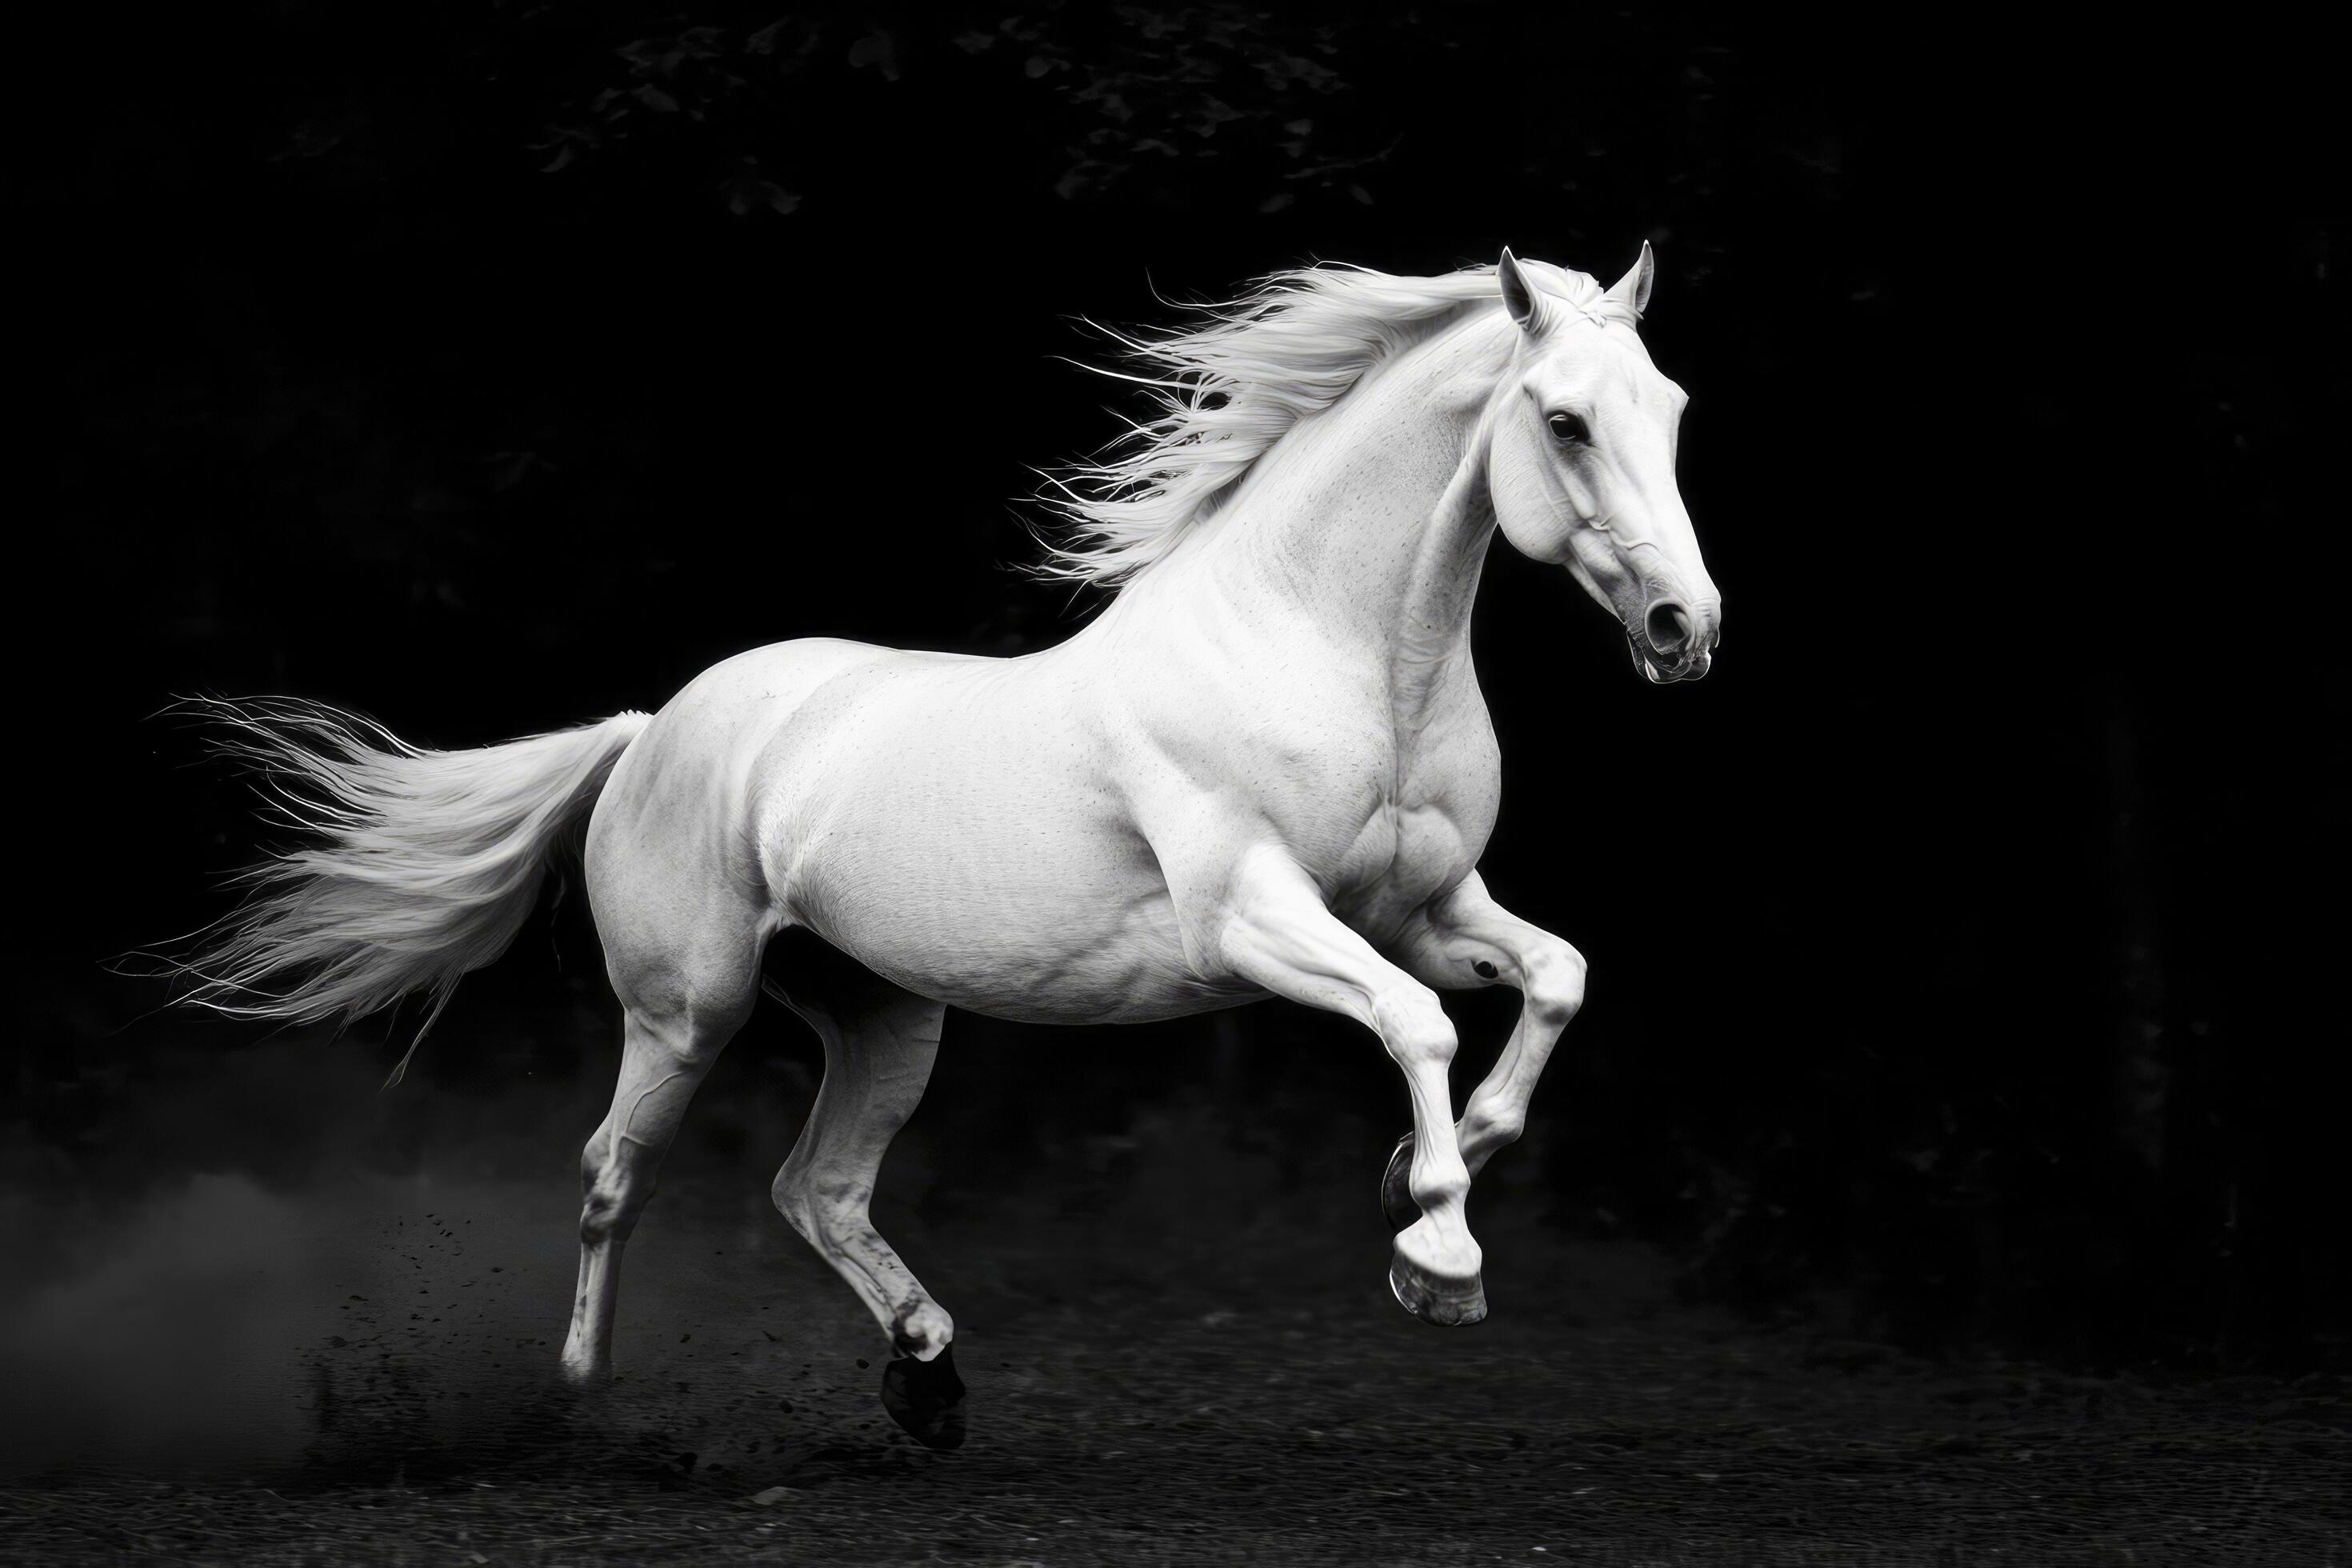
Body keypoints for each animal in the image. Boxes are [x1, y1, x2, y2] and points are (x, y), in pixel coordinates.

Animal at [178, 245, 1720, 1447]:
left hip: (880, 1014)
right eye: (1566, 421)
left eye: (1673, 410)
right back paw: (582, 1406)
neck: (1333, 656)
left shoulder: (1428, 905)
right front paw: (1437, 1252)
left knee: (817, 1190)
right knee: (615, 1175)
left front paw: (1425, 1172)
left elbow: (1556, 978)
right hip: (688, 1010)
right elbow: (1417, 1023)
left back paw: (926, 1380)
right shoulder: (1254, 919)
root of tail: (654, 726)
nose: (1684, 630)